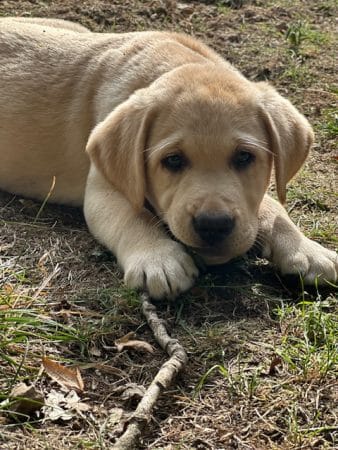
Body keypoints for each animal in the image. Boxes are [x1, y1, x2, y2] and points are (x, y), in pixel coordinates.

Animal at [0, 18, 336, 298]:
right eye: (173, 161)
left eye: (244, 157)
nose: (213, 225)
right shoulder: (103, 188)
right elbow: (132, 215)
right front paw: (158, 257)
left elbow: (274, 208)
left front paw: (307, 249)